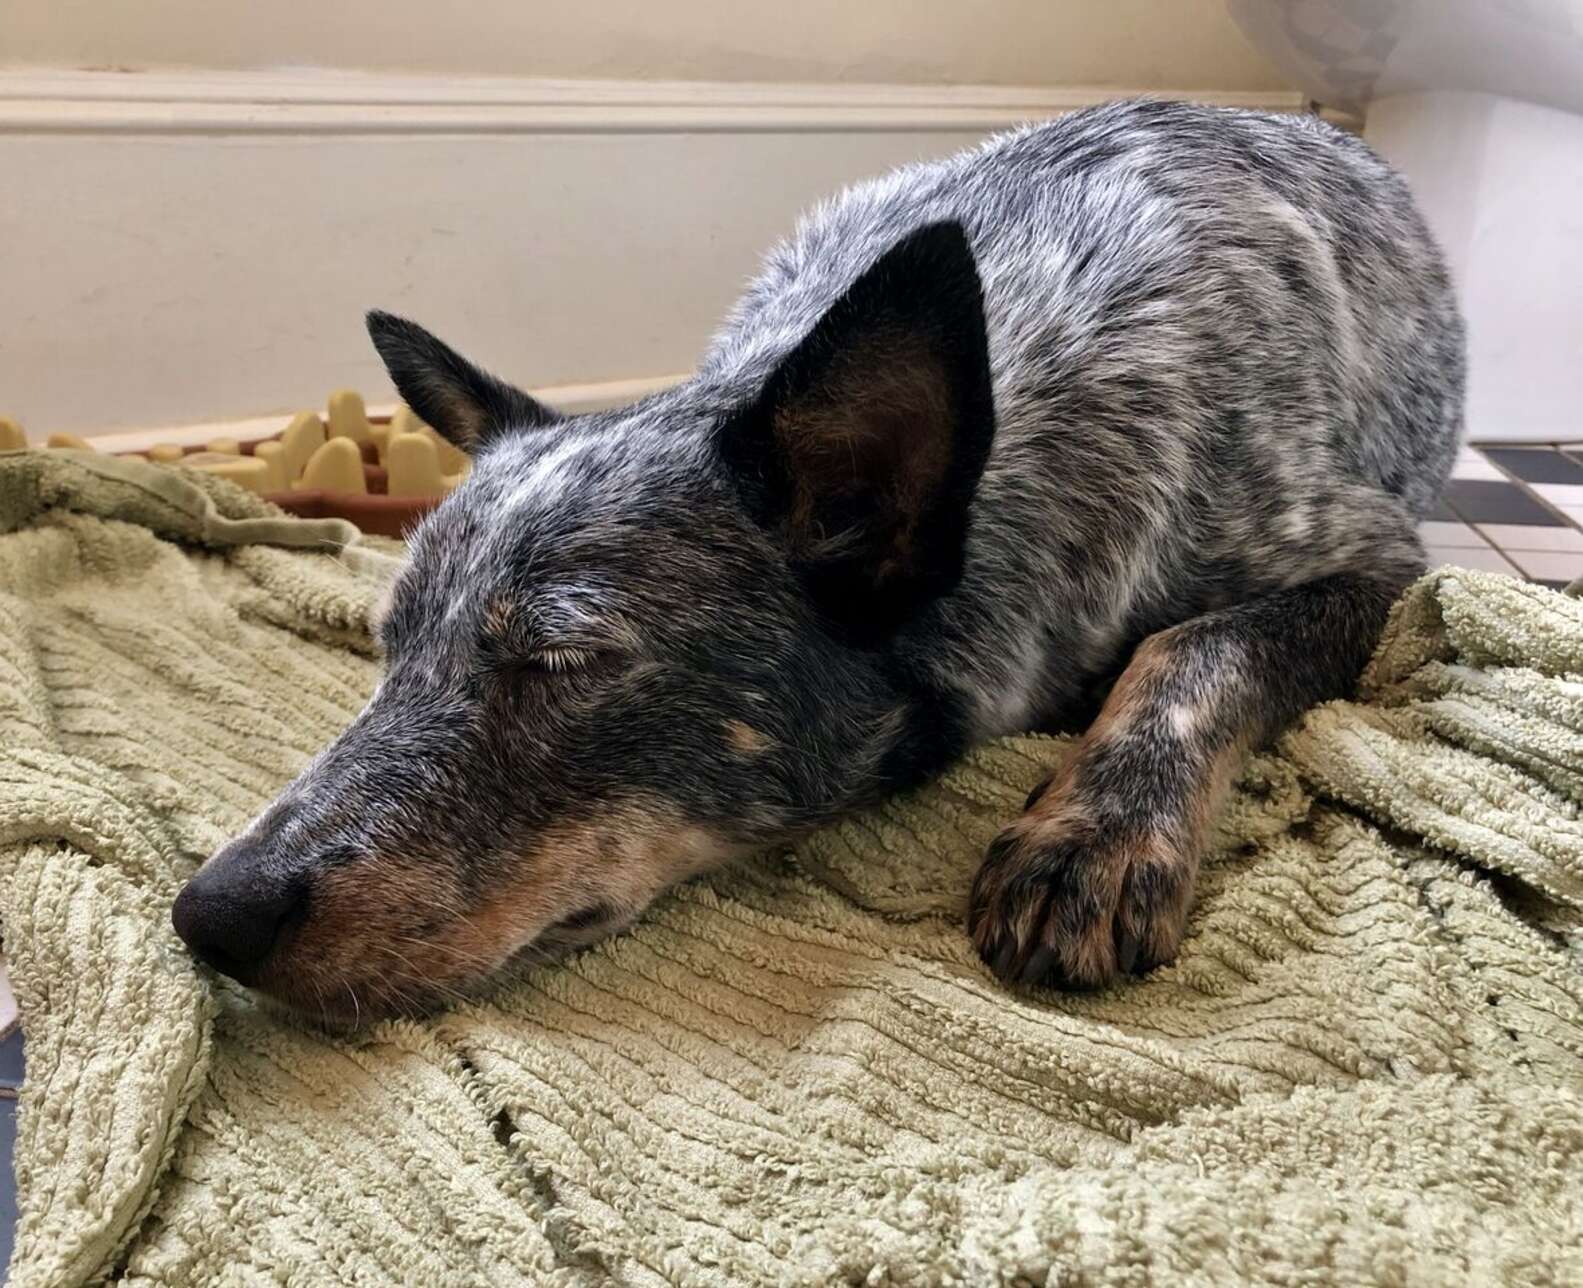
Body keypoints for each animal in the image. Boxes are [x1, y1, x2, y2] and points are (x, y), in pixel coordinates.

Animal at [170, 100, 1456, 1025]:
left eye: (560, 662)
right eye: (386, 648)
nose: (205, 914)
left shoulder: (1374, 557)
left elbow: (1194, 646)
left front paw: (1093, 832)